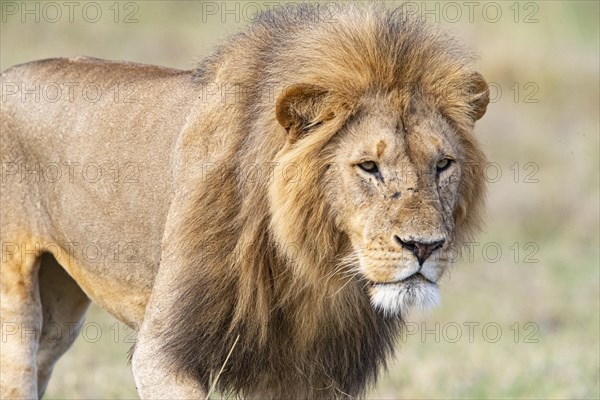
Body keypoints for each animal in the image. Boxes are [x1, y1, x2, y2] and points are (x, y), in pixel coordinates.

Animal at [0, 3, 488, 400]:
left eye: (443, 165)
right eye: (368, 166)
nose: (424, 247)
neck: (311, 264)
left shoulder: (309, 375)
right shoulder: (163, 352)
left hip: (60, 310)